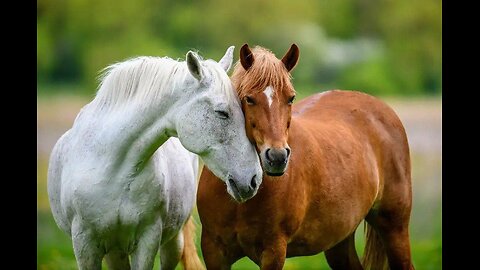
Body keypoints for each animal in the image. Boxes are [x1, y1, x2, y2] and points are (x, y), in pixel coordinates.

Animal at [47, 47, 262, 270]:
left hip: (171, 244)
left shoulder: (147, 240)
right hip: (114, 251)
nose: (254, 179)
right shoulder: (85, 245)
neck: (111, 168)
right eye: (222, 113)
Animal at [197, 43, 414, 268]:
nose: (277, 157)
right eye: (249, 99)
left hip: (394, 229)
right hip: (339, 242)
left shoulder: (273, 251)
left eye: (290, 98)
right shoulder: (214, 251)